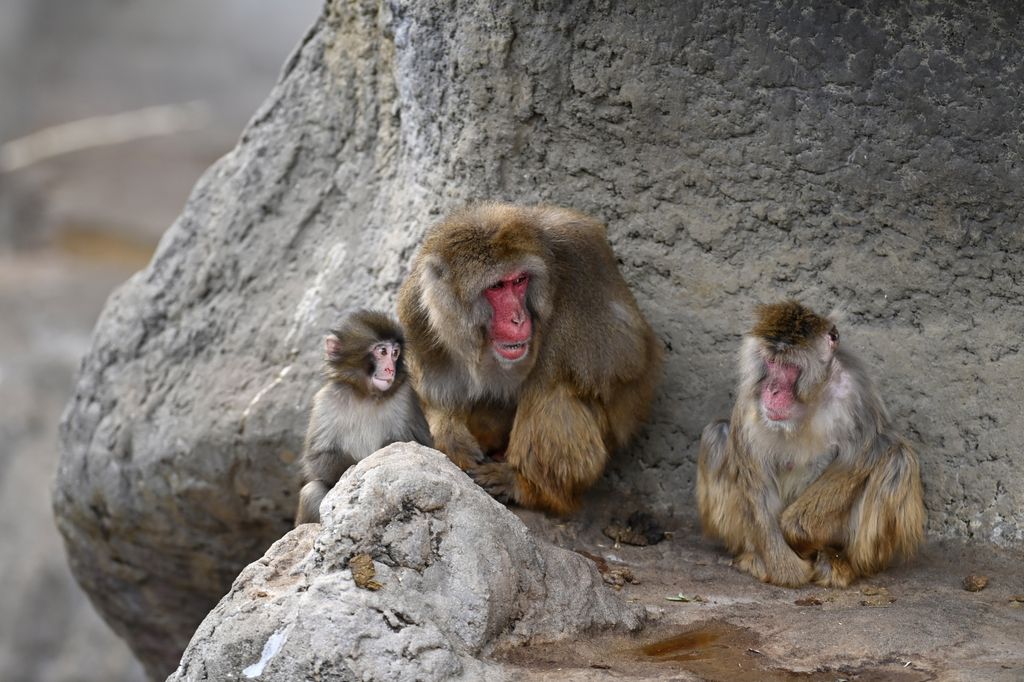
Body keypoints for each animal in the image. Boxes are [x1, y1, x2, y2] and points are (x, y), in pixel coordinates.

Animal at [295, 309, 433, 525]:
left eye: (395, 353)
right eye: (382, 351)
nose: (390, 369)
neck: (367, 395)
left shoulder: (406, 397)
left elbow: (425, 447)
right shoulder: (326, 400)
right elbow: (318, 457)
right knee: (311, 491)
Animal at [397, 202, 662, 515]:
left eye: (519, 281)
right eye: (497, 287)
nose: (518, 318)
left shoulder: (583, 255)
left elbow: (624, 353)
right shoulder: (418, 308)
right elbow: (433, 391)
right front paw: (451, 437)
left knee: (551, 390)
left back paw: (527, 486)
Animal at [697, 301, 925, 588]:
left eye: (788, 366)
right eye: (771, 362)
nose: (772, 390)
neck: (809, 398)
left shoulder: (855, 390)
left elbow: (862, 455)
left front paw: (797, 534)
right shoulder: (750, 401)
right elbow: (756, 480)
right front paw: (787, 570)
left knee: (897, 459)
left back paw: (842, 562)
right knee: (718, 434)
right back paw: (754, 557)